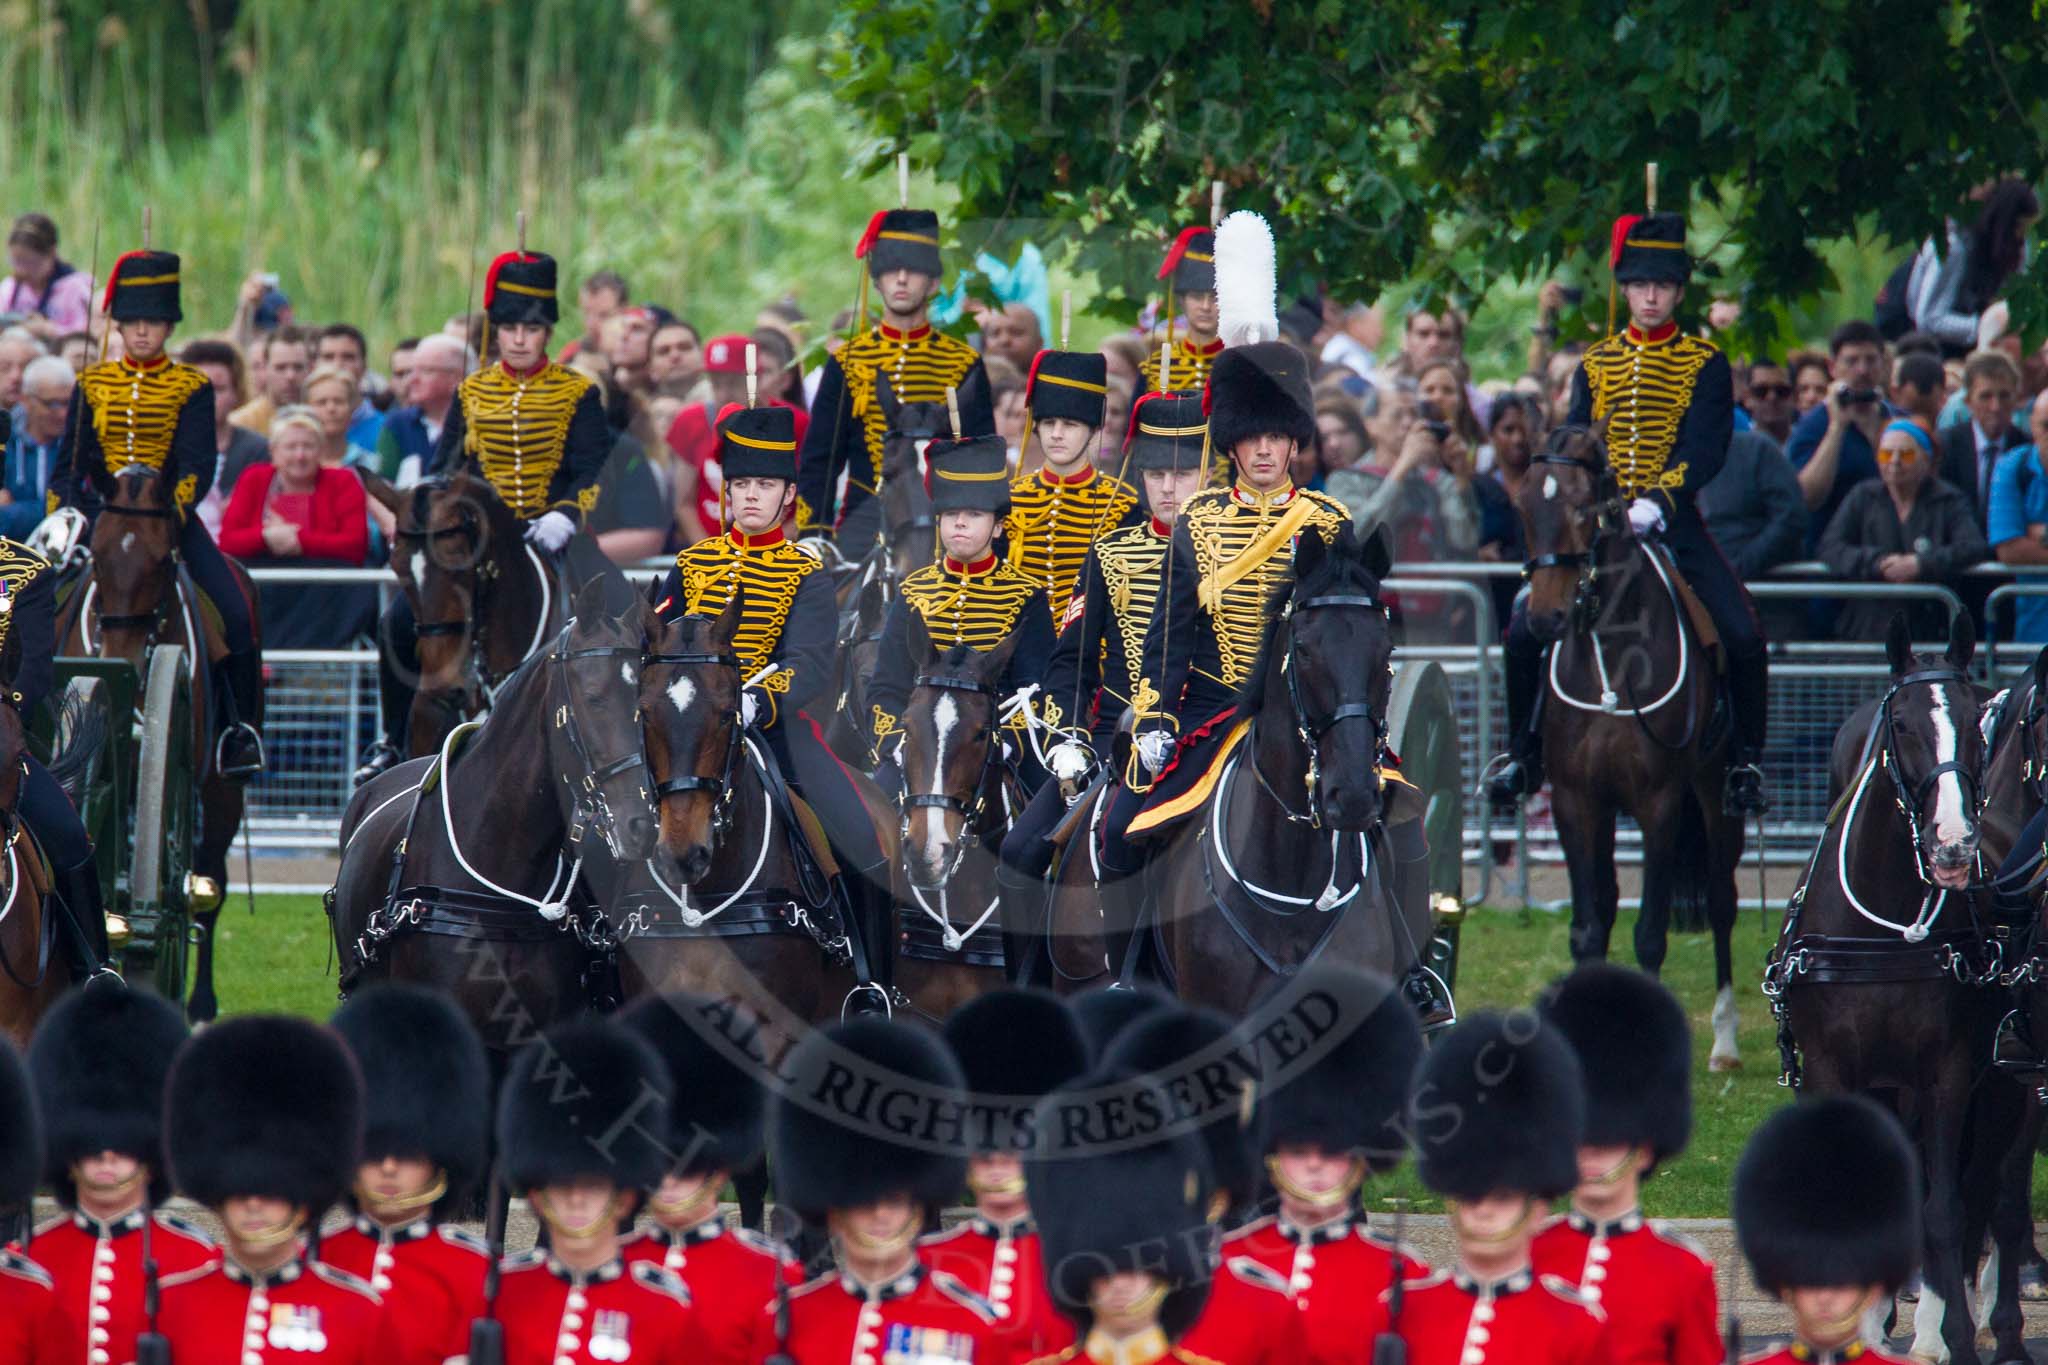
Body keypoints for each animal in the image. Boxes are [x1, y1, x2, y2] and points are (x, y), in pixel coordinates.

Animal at [58, 464, 256, 1019]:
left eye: (164, 557)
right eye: (97, 555)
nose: (123, 657)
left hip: (222, 790)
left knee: (211, 883)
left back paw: (201, 1003)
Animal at [1523, 423, 1744, 1064]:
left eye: (1582, 507)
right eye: (1523, 504)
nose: (1543, 620)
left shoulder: (1660, 803)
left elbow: (1649, 933)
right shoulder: (1575, 801)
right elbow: (1588, 927)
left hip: (1716, 793)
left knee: (1721, 901)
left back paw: (1725, 1040)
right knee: (1607, 899)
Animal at [1761, 613, 1998, 1358]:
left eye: (1977, 717)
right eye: (1901, 723)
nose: (1953, 843)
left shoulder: (1948, 1070)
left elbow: (1942, 1205)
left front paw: (1937, 1333)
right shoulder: (1831, 1067)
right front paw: (1857, 1324)